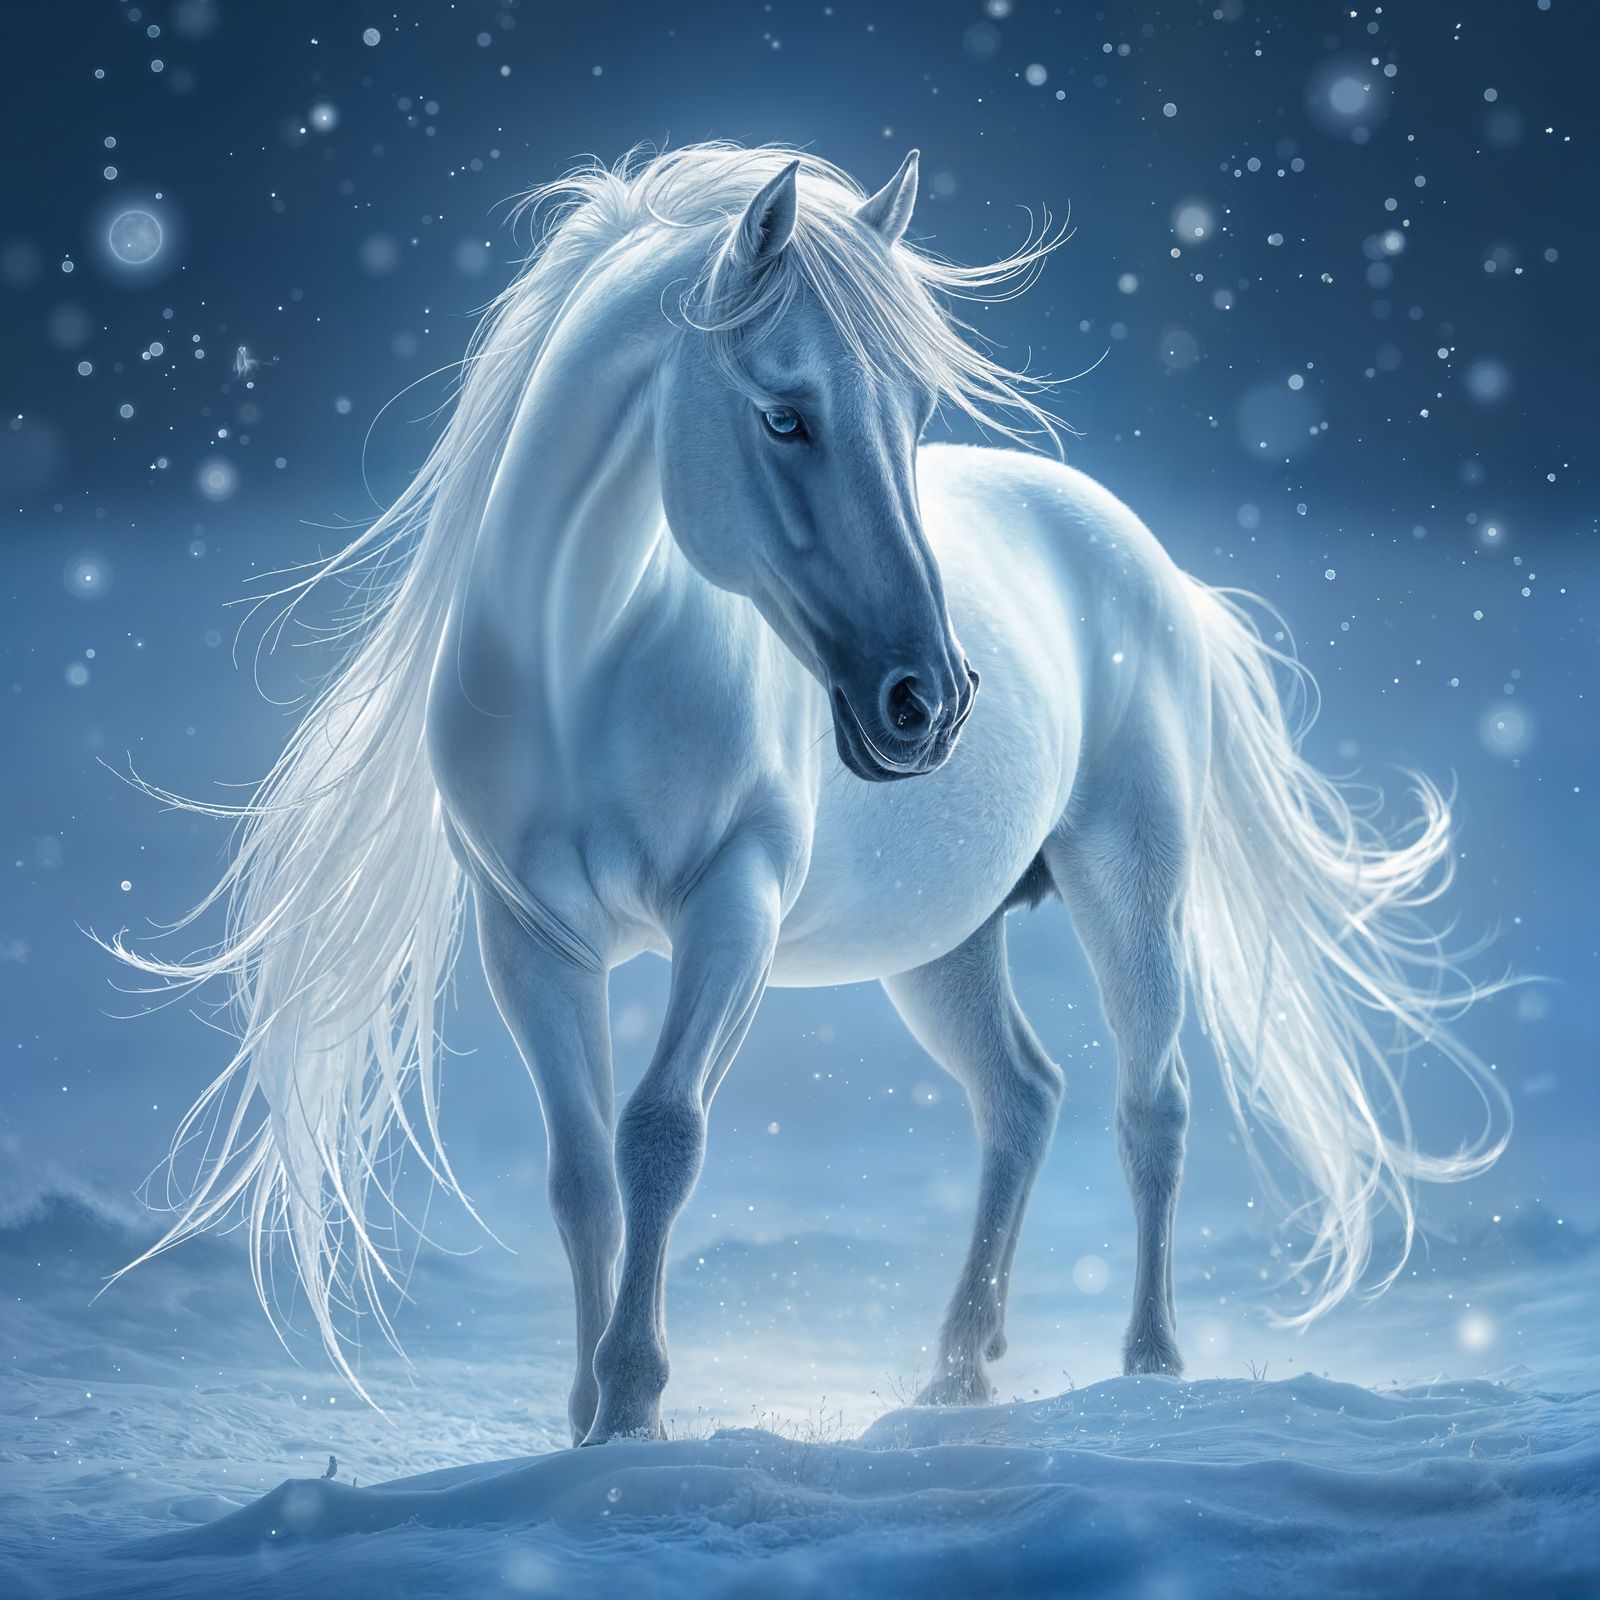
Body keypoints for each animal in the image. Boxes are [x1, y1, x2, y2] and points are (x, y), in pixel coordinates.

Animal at [111, 143, 1507, 1445]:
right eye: (785, 416)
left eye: (915, 410)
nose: (930, 700)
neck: (588, 664)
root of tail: (1148, 558)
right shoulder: (530, 937)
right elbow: (579, 1173)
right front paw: (581, 1419)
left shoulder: (734, 905)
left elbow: (660, 1134)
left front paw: (635, 1405)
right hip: (942, 942)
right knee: (1021, 1095)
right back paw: (955, 1378)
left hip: (1131, 883)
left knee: (1149, 1106)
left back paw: (1151, 1368)